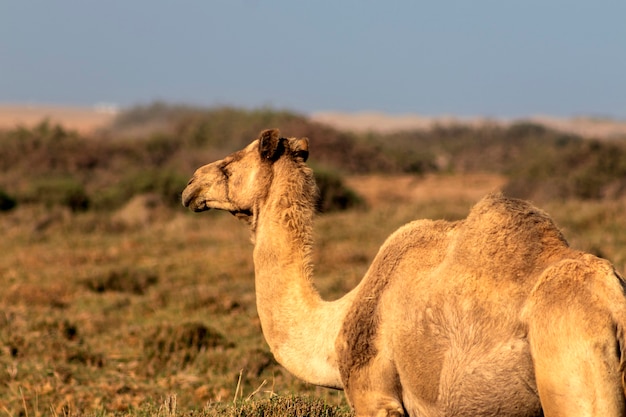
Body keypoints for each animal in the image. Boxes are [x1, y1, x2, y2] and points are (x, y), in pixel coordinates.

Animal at [179, 128, 624, 414]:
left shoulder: (374, 396)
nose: (190, 185)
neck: (336, 322)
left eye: (230, 164)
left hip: (572, 367)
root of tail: (613, 308)